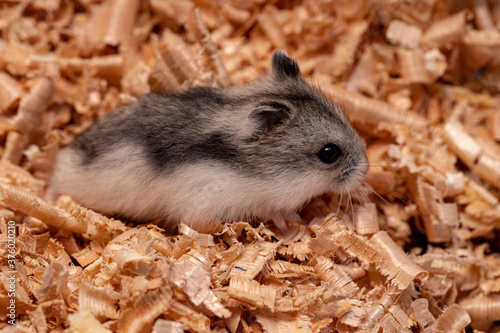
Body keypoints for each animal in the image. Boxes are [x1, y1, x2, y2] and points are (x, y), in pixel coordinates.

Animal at [50, 50, 370, 232]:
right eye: (329, 153)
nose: (366, 168)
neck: (257, 171)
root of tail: (60, 166)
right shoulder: (206, 203)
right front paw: (291, 220)